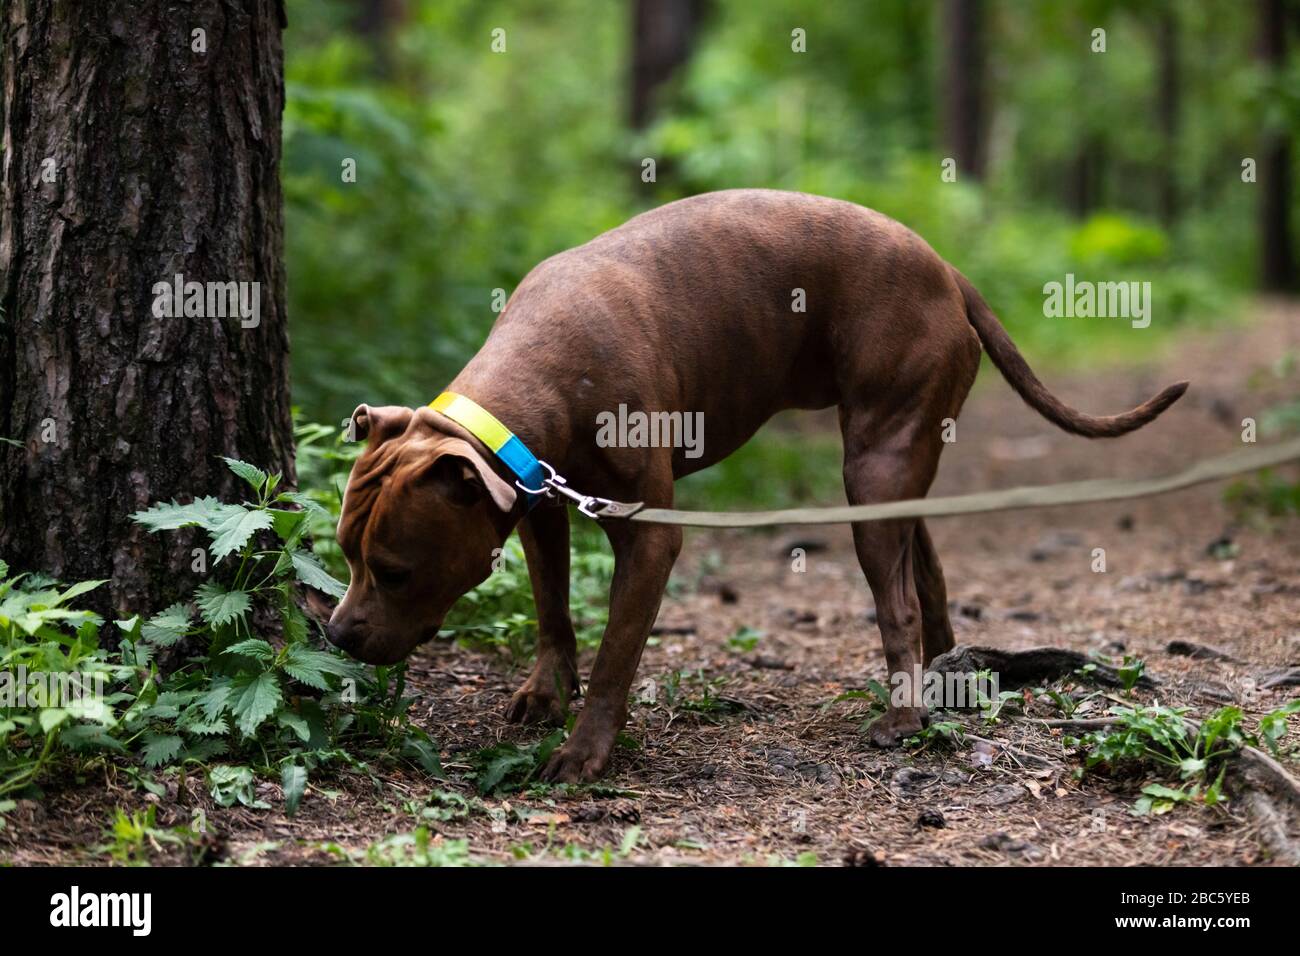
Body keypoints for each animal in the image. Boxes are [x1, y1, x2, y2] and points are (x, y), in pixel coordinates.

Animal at [327, 188, 1190, 785]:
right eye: (346, 556)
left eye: (396, 571)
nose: (335, 634)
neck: (532, 384)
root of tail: (947, 271)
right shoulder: (540, 508)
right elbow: (552, 609)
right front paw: (546, 692)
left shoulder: (649, 536)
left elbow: (616, 656)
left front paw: (585, 750)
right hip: (898, 465)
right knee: (930, 574)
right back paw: (946, 676)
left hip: (872, 468)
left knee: (899, 600)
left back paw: (902, 714)